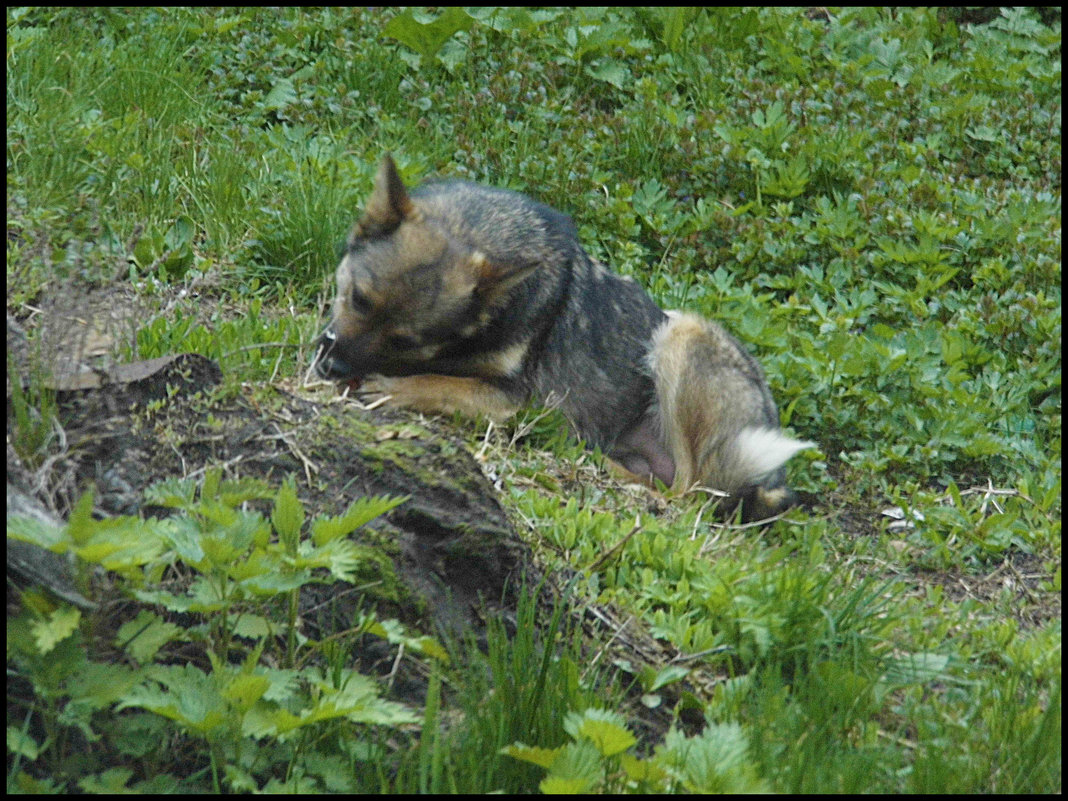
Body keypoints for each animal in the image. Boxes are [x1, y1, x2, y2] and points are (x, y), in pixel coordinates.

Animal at [311, 154, 811, 523]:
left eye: (405, 340)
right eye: (358, 299)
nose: (331, 367)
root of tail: (773, 484)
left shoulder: (515, 401)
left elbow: (438, 384)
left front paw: (391, 388)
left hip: (680, 335)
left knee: (687, 495)